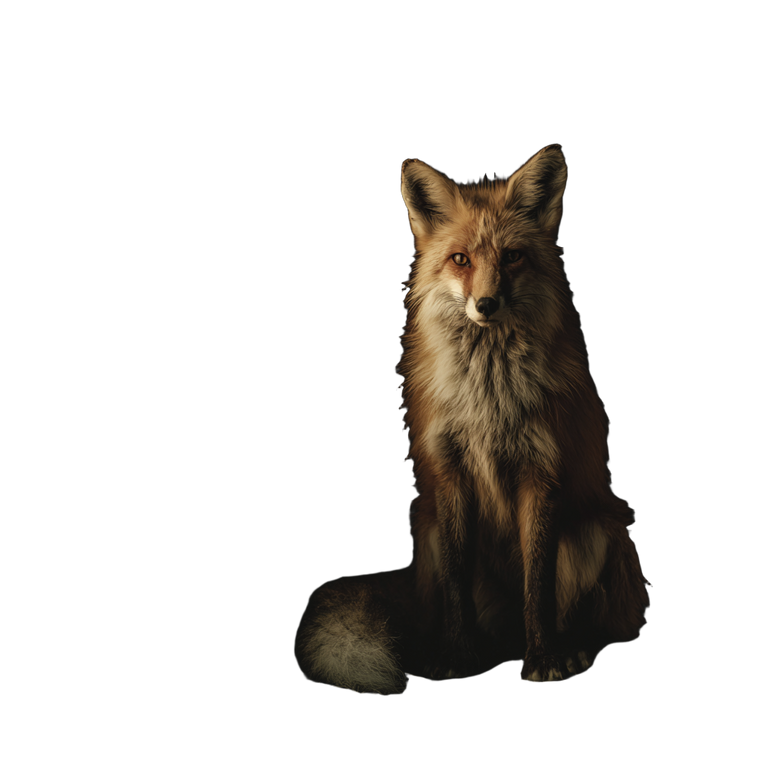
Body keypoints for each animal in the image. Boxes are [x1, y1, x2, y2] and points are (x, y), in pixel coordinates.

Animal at [292, 143, 652, 695]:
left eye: (513, 257)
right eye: (460, 259)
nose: (486, 303)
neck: (489, 401)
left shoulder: (541, 473)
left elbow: (538, 584)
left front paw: (543, 661)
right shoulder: (450, 473)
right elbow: (457, 586)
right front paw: (456, 658)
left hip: (595, 532)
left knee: (598, 618)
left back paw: (571, 648)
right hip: (427, 532)